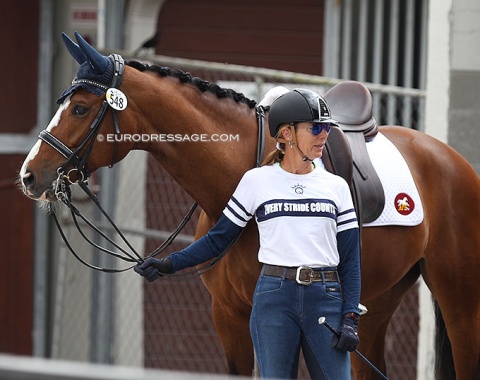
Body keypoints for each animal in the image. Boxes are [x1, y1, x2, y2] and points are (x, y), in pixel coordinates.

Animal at [19, 33, 480, 380]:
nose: (28, 176)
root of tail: (451, 158)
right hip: (374, 305)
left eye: (81, 108)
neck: (235, 177)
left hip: (459, 302)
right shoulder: (229, 317)